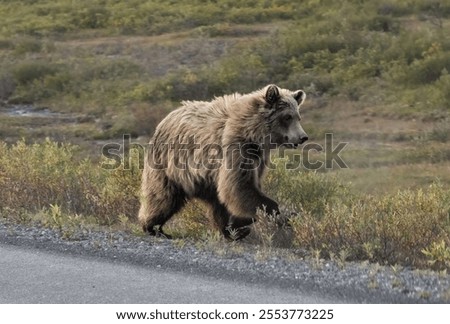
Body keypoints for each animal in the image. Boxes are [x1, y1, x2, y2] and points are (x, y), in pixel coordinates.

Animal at [140, 84, 310, 240]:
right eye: (287, 117)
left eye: (298, 116)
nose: (303, 137)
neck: (253, 133)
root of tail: (166, 118)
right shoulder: (235, 147)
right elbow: (239, 186)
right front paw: (283, 214)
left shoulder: (259, 157)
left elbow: (241, 188)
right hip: (170, 162)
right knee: (163, 196)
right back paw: (153, 227)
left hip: (204, 177)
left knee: (216, 201)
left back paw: (234, 231)